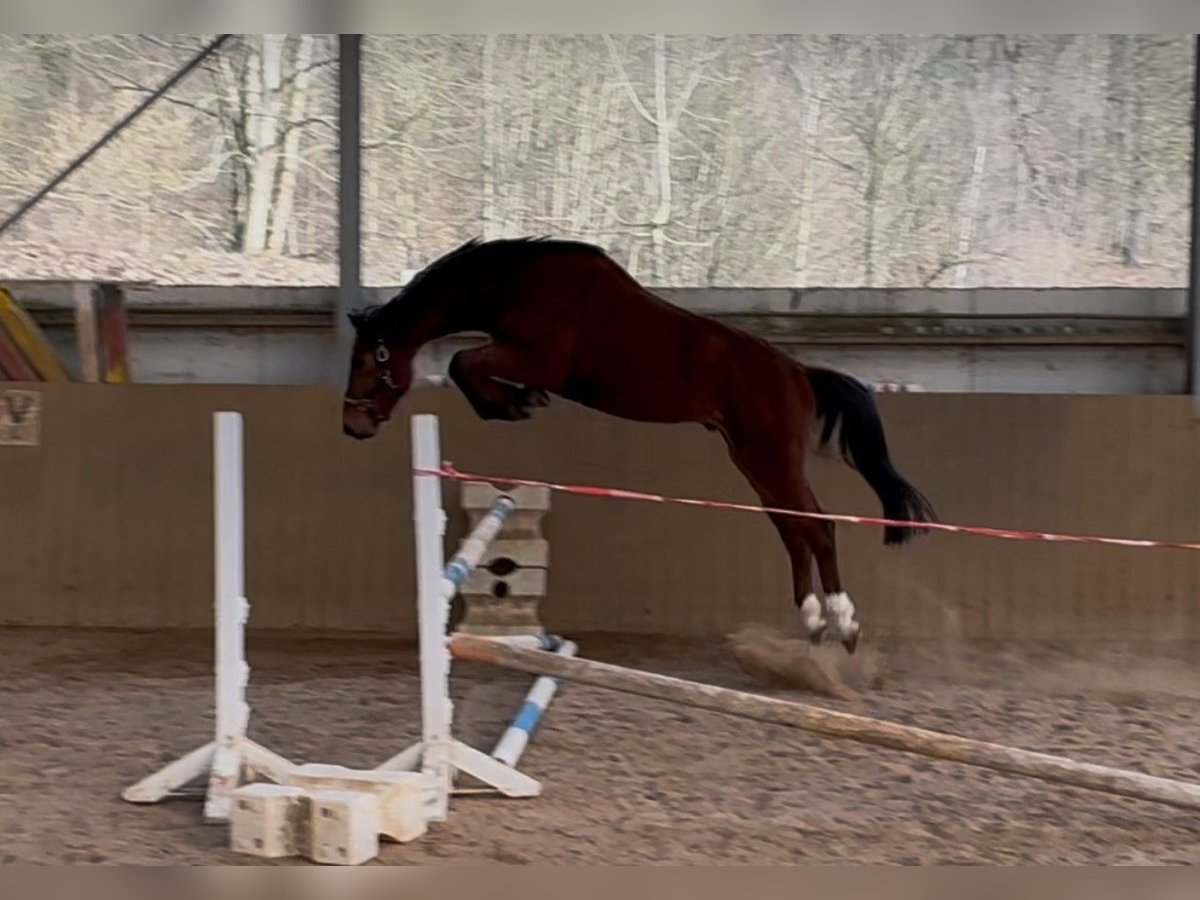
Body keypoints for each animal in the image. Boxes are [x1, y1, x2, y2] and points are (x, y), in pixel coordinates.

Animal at [343, 236, 931, 652]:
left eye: (371, 358)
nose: (353, 426)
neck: (522, 284)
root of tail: (800, 374)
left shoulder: (535, 358)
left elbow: (463, 363)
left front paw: (513, 404)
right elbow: (467, 366)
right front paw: (516, 402)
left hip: (772, 459)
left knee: (819, 526)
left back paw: (845, 623)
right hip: (755, 462)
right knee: (794, 531)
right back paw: (813, 621)